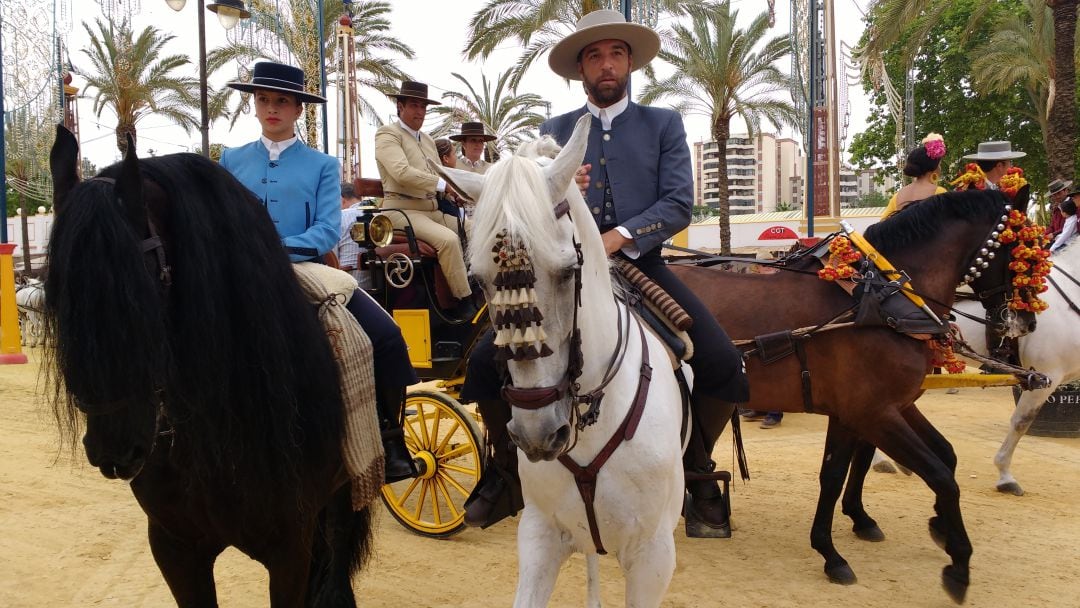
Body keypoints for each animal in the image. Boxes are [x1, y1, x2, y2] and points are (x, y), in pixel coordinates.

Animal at [45, 126, 375, 604]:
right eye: (56, 293)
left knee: (339, 540)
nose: (113, 447)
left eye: (141, 290)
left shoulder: (289, 549)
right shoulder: (175, 548)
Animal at [669, 191, 1023, 604]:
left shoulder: (870, 410)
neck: (881, 299)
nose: (1019, 323)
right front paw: (959, 566)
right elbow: (939, 476)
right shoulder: (873, 412)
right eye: (1021, 246)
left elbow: (845, 471)